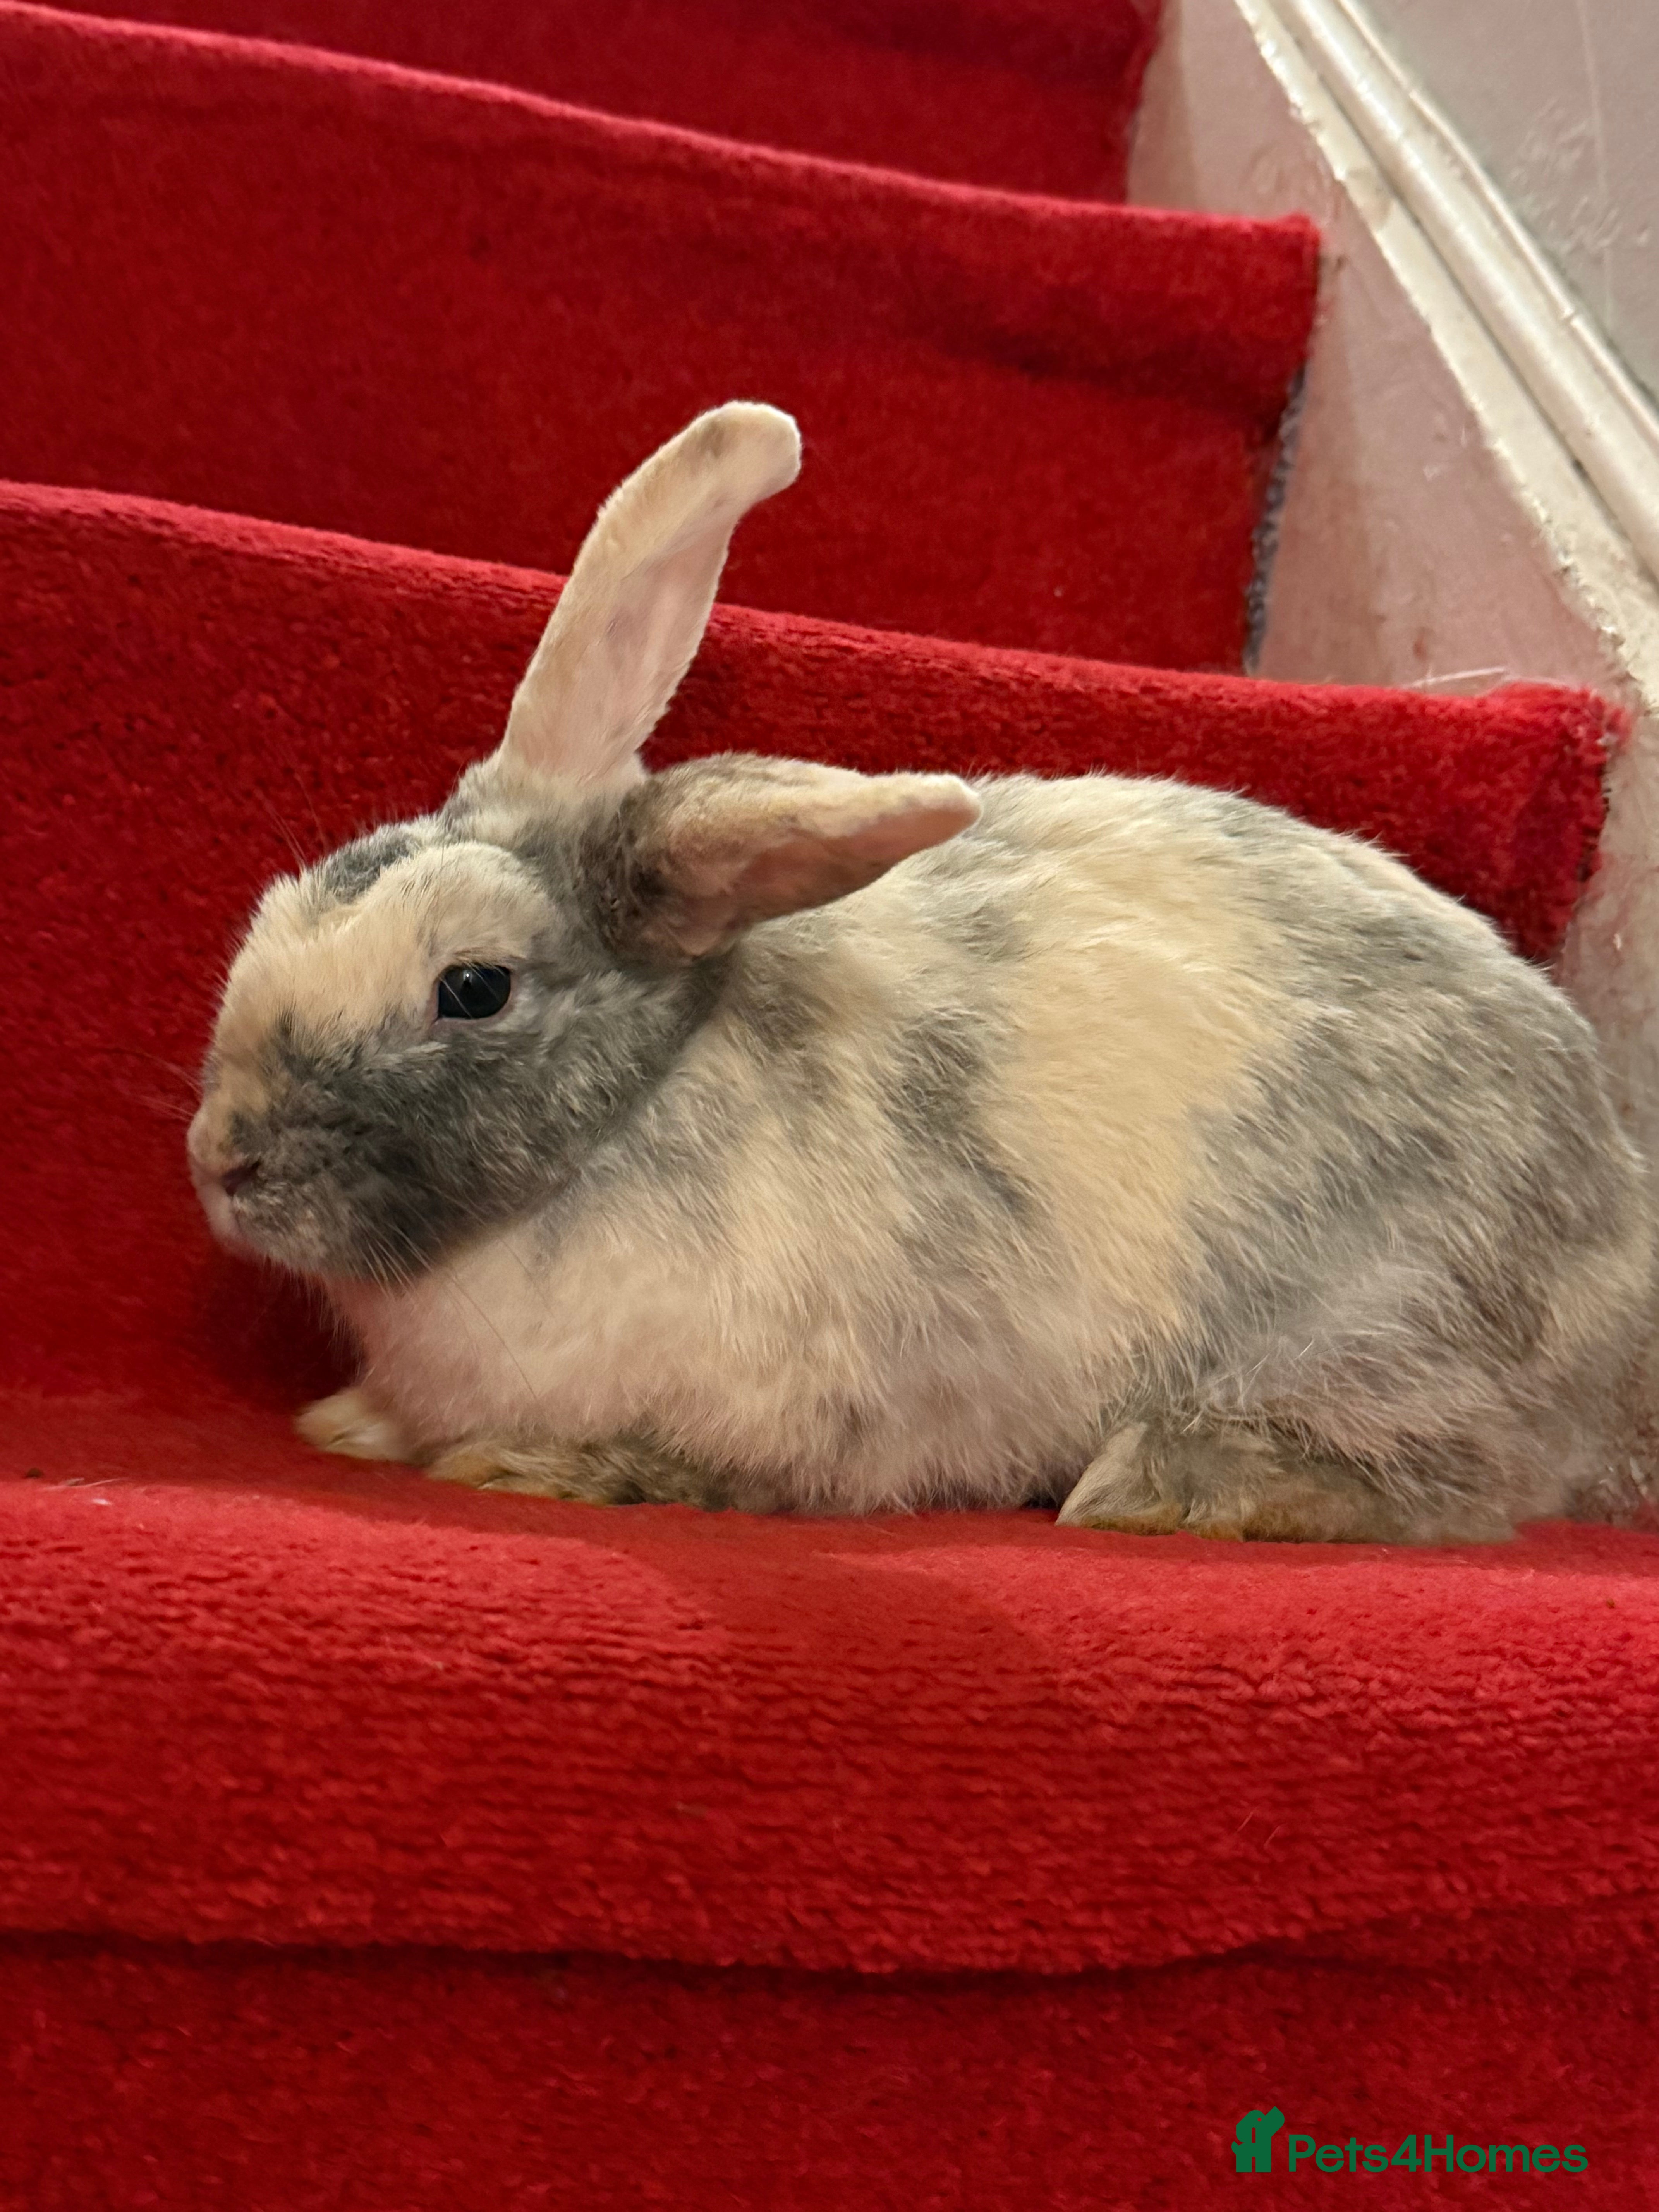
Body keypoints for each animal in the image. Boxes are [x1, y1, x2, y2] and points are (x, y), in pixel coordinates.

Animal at [189, 401, 1653, 1543]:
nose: (222, 1159)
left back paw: (1157, 1485)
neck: (626, 1119)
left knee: (1452, 1480)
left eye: (474, 987)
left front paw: (540, 1467)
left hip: (1384, 1330)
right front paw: (348, 1425)